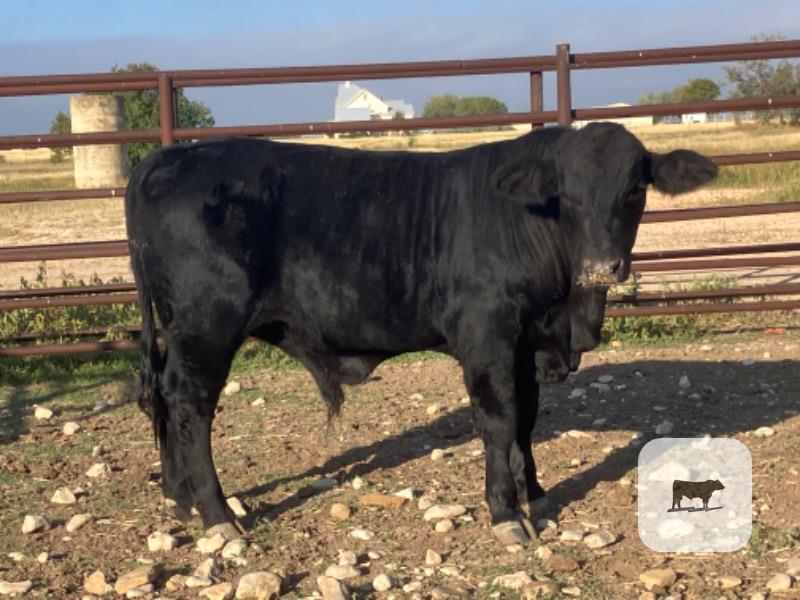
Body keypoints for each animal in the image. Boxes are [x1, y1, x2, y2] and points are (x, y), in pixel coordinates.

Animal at [125, 122, 716, 545]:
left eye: (635, 191)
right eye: (566, 197)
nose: (600, 267)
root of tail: (165, 158)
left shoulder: (526, 345)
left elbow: (526, 420)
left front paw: (537, 495)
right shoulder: (487, 337)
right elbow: (499, 421)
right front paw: (506, 512)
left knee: (164, 396)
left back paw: (180, 496)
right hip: (207, 325)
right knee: (190, 404)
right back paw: (216, 514)